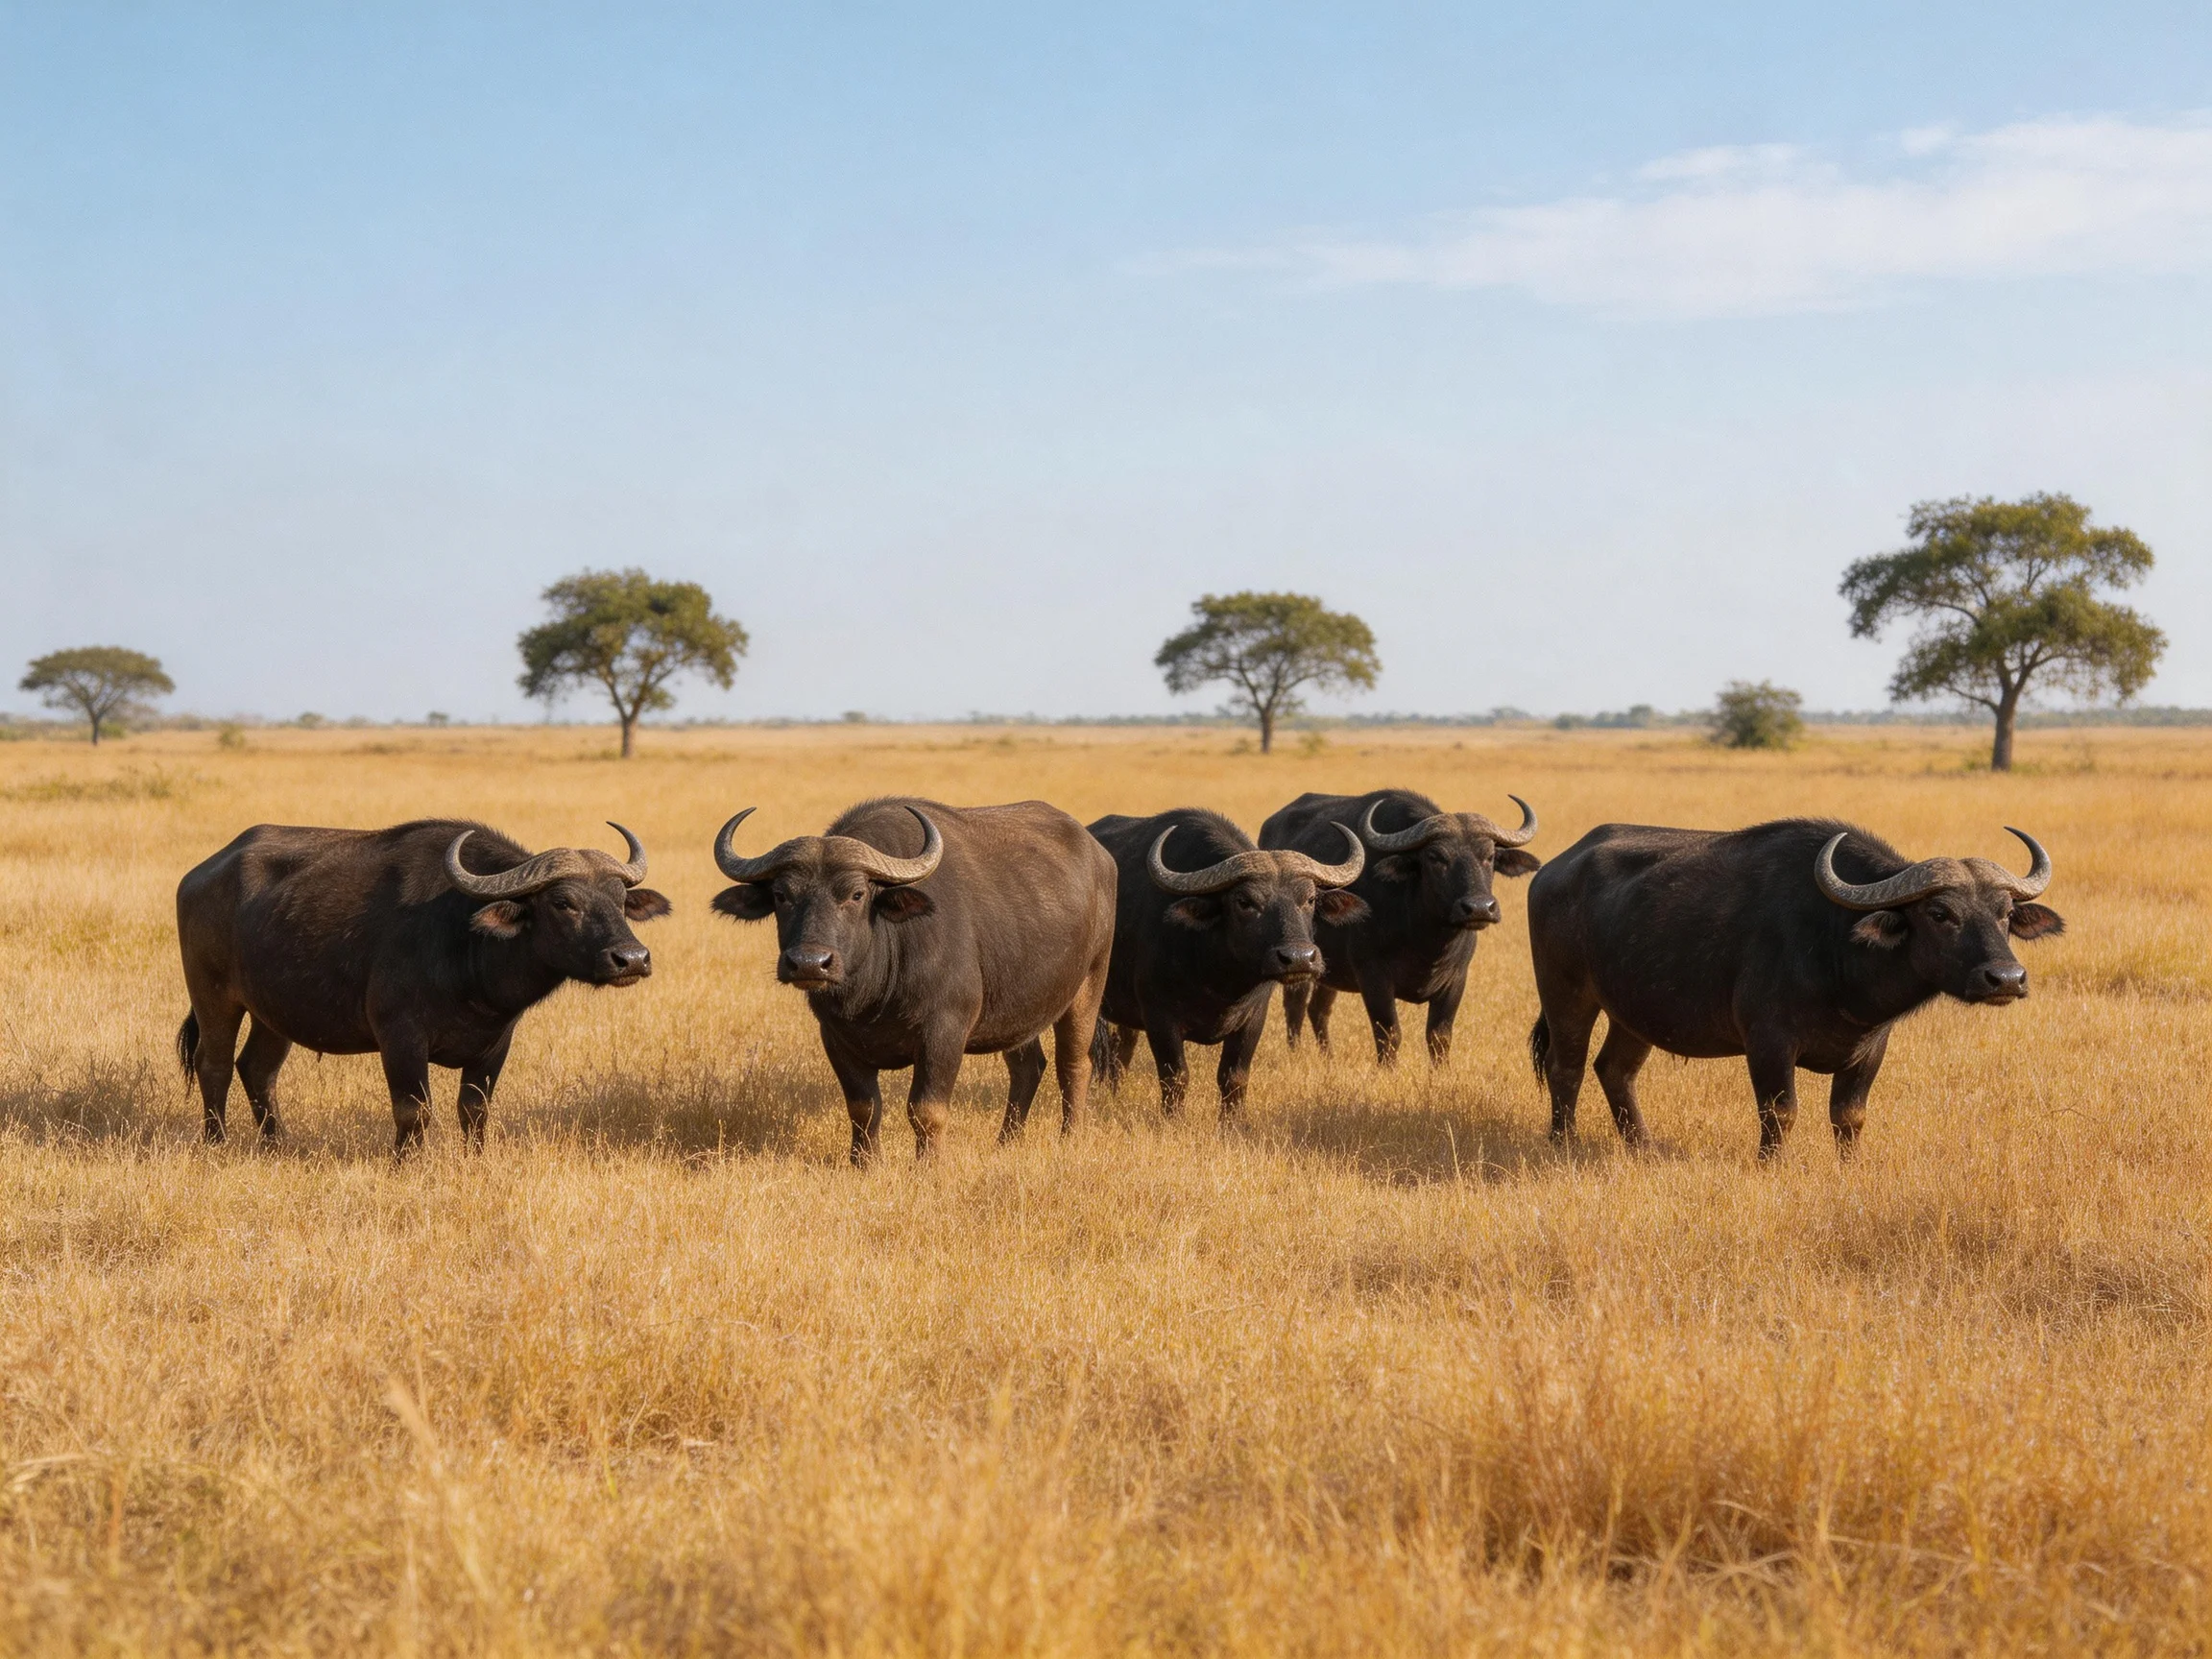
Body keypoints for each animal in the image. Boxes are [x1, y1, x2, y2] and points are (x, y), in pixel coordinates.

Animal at [175, 820, 669, 1152]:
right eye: (563, 902)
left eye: (620, 900)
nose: (632, 959)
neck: (465, 945)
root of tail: (200, 873)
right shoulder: (400, 1037)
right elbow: (414, 1111)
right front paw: (405, 1163)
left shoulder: (496, 1044)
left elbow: (474, 1111)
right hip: (214, 996)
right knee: (214, 1064)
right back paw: (217, 1144)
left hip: (275, 1012)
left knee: (257, 1069)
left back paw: (278, 1145)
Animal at [710, 797, 1116, 1162]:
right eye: (781, 895)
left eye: (856, 894)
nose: (810, 963)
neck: (871, 994)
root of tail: (1100, 856)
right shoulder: (835, 1037)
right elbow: (863, 1107)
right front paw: (864, 1163)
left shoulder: (944, 1032)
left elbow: (926, 1110)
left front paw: (928, 1164)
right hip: (1019, 1011)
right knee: (1027, 1068)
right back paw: (1006, 1143)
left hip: (1089, 984)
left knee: (1073, 1064)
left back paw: (1069, 1138)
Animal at [1088, 808, 1367, 1116]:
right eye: (1244, 901)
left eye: (1310, 899)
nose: (1298, 958)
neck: (1219, 977)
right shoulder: (1159, 1017)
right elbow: (1175, 1076)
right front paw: (1173, 1119)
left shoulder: (1253, 1019)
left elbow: (1234, 1077)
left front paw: (1233, 1122)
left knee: (1121, 1050)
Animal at [1259, 789, 1541, 1065]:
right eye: (1436, 857)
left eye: (1489, 856)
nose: (1480, 907)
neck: (1425, 938)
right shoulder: (1373, 977)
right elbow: (1389, 1034)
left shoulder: (1456, 978)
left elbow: (1439, 1036)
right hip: (1301, 962)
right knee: (1295, 1007)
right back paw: (1296, 1056)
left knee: (1318, 1009)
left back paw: (1329, 1059)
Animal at [1528, 818, 2063, 1158]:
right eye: (1939, 913)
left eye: (2005, 913)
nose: (2006, 979)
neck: (1836, 948)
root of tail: (1555, 867)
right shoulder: (1768, 1043)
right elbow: (1780, 1113)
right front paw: (1773, 1168)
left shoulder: (1871, 1047)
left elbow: (1849, 1116)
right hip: (1566, 994)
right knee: (1566, 1066)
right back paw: (1564, 1145)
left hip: (1634, 1011)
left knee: (1614, 1069)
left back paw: (1643, 1146)